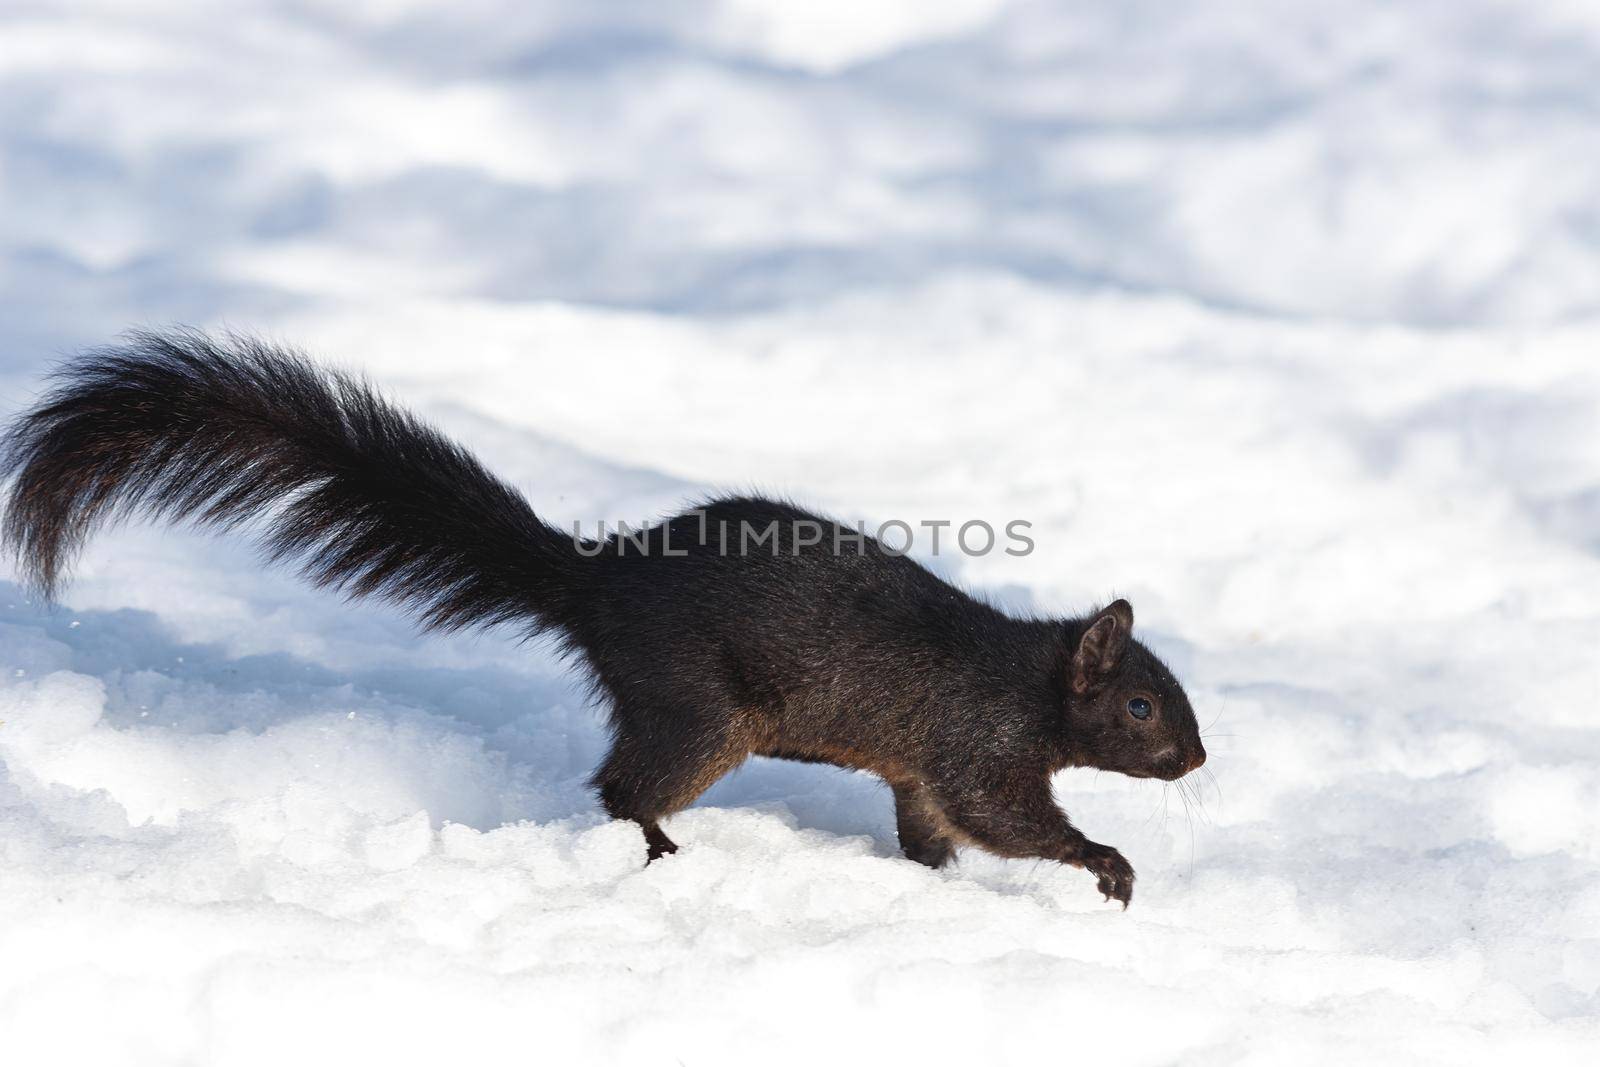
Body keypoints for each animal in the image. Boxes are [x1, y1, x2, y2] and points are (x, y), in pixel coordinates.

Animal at [0, 329, 1203, 908]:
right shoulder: (974, 742)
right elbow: (1007, 817)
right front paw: (1107, 861)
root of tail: (601, 586)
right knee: (623, 784)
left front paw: (938, 883)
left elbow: (931, 827)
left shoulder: (920, 767)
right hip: (700, 706)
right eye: (1143, 704)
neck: (1025, 675)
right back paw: (660, 845)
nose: (1196, 760)